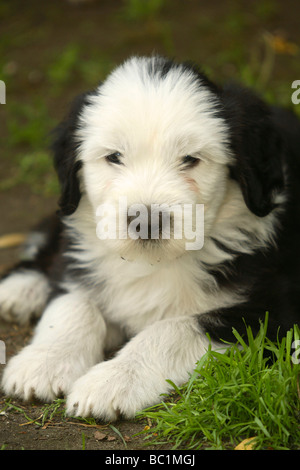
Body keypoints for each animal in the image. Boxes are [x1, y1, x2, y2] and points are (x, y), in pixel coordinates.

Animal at [0, 57, 300, 420]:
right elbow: (73, 302)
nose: (146, 221)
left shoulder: (266, 311)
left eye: (191, 159)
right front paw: (45, 361)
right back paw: (20, 288)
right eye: (114, 156)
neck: (151, 263)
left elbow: (170, 329)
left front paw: (111, 381)